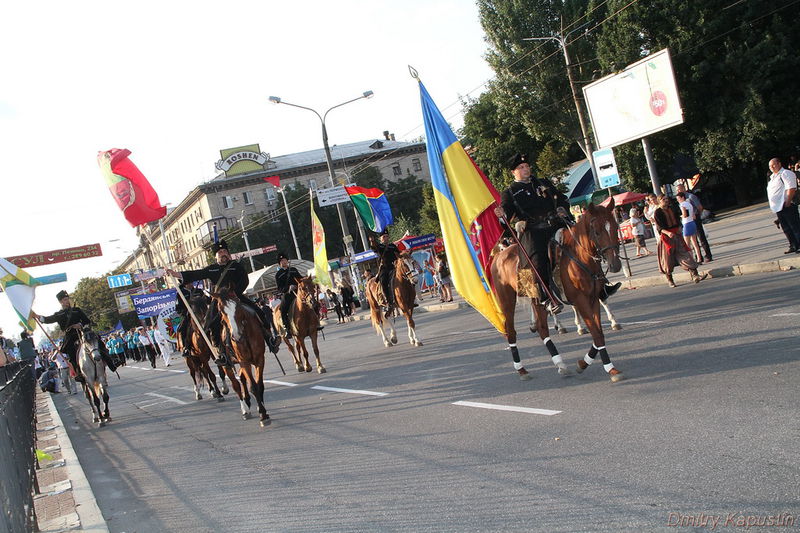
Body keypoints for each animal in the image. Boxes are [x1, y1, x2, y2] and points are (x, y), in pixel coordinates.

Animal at [212, 288, 272, 426]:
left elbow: (259, 384)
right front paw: (263, 414)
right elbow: (253, 386)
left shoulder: (259, 359)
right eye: (221, 311)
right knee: (236, 385)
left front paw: (262, 409)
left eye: (238, 306)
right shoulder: (244, 361)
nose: (236, 335)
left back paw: (249, 402)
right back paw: (245, 410)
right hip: (227, 365)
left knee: (242, 378)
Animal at [490, 202, 628, 380]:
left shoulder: (592, 298)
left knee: (542, 329)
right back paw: (521, 369)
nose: (615, 265)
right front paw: (609, 368)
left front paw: (584, 363)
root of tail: (499, 255)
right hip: (507, 299)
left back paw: (560, 364)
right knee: (511, 331)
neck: (580, 257)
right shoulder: (581, 300)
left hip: (536, 299)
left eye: (615, 227)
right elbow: (596, 334)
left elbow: (599, 333)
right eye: (597, 232)